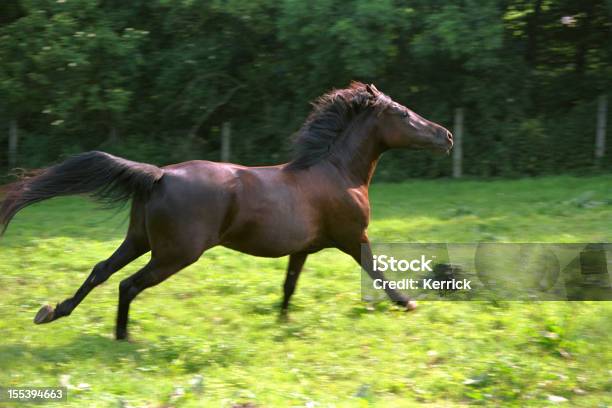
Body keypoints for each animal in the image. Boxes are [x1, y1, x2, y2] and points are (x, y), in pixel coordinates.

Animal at [0, 81, 450, 340]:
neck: (338, 172)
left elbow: (289, 285)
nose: (445, 135)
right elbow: (377, 272)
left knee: (101, 271)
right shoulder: (353, 238)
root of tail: (159, 175)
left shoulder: (303, 249)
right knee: (127, 284)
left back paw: (52, 313)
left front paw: (282, 322)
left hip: (139, 240)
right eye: (403, 113)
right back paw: (124, 337)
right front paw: (407, 304)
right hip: (175, 254)